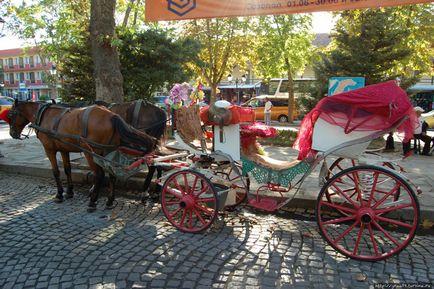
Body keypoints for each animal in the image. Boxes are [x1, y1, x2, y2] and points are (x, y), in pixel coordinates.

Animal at [8, 100, 156, 210]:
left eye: (10, 115)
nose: (12, 134)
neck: (44, 115)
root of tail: (111, 116)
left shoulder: (49, 150)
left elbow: (56, 172)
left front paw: (59, 194)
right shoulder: (64, 149)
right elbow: (67, 169)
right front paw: (69, 191)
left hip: (90, 152)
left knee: (99, 174)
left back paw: (92, 202)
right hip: (107, 151)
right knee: (112, 174)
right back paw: (109, 201)